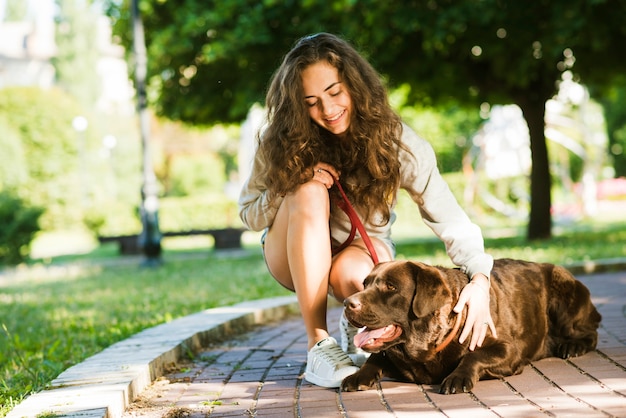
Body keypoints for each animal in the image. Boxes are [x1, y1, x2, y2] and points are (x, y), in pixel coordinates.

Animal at [342, 258, 600, 396]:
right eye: (365, 284)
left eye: (391, 287)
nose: (347, 303)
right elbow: (373, 358)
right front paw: (357, 375)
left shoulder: (509, 349)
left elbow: (474, 356)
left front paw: (457, 377)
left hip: (563, 291)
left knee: (591, 333)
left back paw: (571, 346)